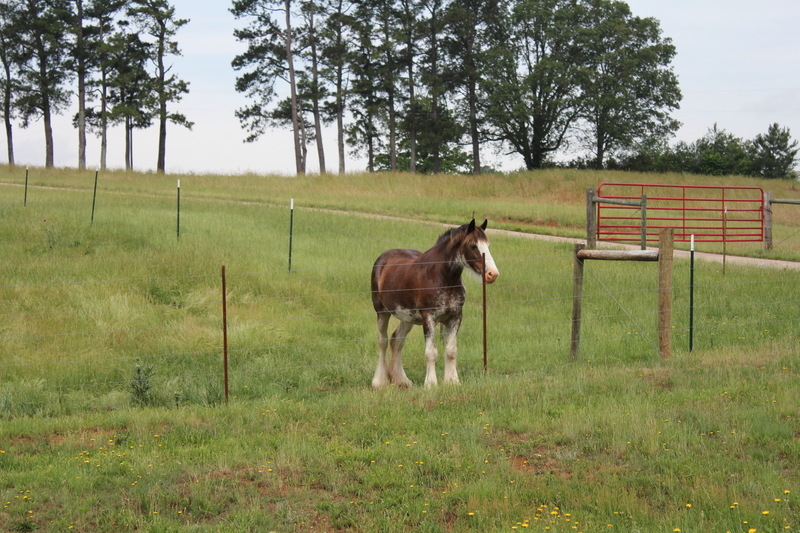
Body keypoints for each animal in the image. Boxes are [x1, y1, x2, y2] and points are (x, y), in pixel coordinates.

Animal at [370, 218, 496, 388]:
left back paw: (402, 380)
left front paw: (452, 381)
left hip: (407, 317)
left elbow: (451, 350)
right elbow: (431, 352)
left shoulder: (455, 317)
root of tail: (382, 259)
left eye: (487, 245)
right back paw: (379, 382)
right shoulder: (428, 317)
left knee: (397, 341)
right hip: (382, 312)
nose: (492, 274)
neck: (442, 277)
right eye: (473, 245)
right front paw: (431, 383)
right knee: (382, 341)